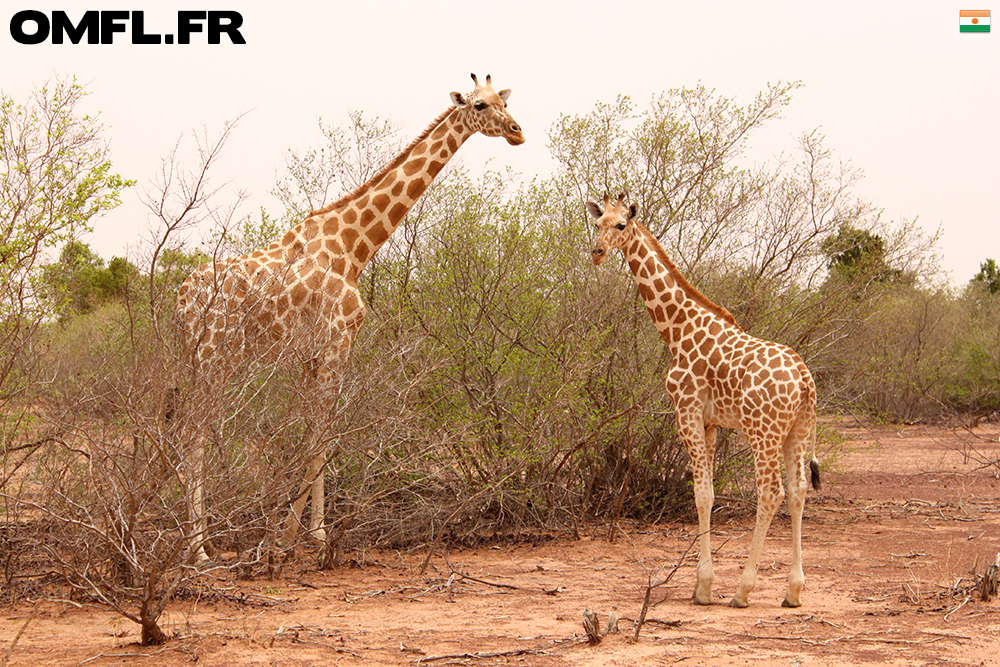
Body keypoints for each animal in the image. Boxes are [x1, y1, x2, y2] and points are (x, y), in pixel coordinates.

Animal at [177, 74, 528, 564]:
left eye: (504, 101)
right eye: (479, 105)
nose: (517, 131)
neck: (355, 246)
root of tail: (180, 300)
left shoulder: (311, 356)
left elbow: (314, 436)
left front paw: (302, 535)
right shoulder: (338, 342)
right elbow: (322, 438)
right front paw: (300, 538)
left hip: (197, 360)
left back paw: (196, 543)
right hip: (216, 357)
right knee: (192, 435)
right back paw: (199, 550)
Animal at [584, 194, 820, 612]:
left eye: (621, 226)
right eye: (597, 224)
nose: (597, 253)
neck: (678, 330)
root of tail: (805, 380)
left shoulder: (687, 412)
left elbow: (702, 494)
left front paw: (705, 587)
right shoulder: (711, 423)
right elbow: (706, 495)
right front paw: (702, 584)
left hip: (763, 431)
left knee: (770, 492)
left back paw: (743, 590)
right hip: (796, 431)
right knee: (797, 492)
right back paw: (793, 591)